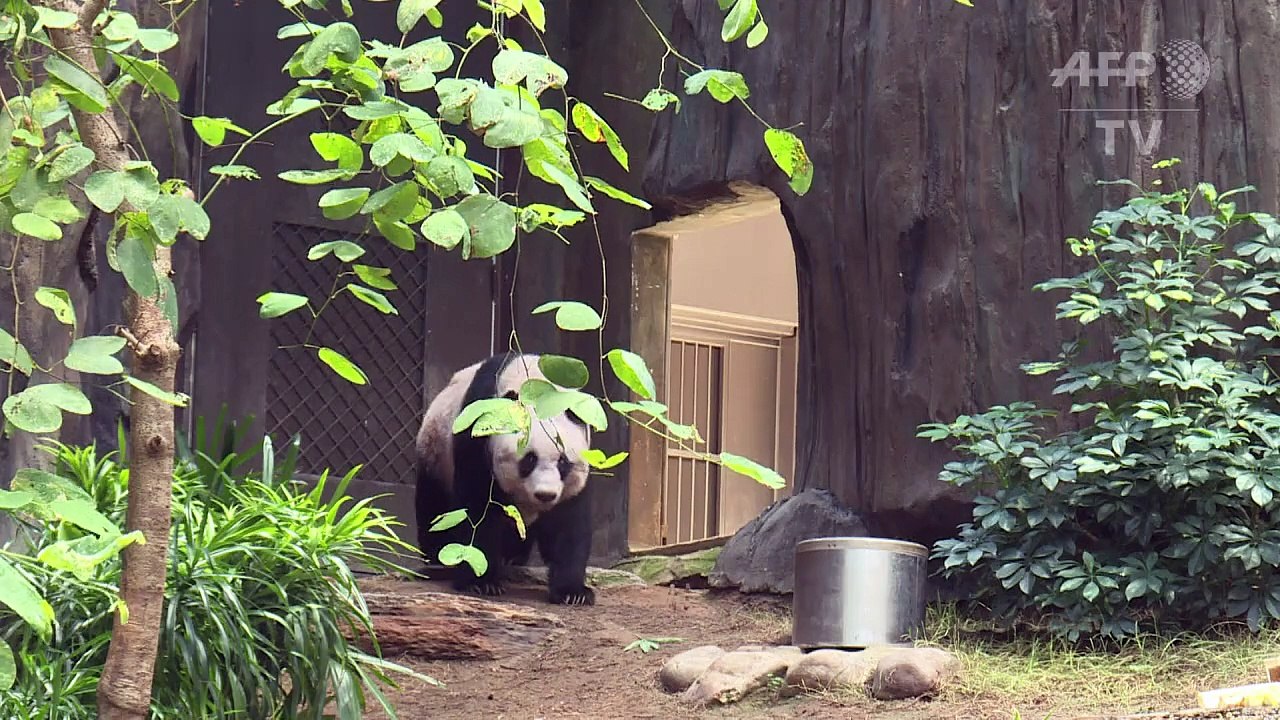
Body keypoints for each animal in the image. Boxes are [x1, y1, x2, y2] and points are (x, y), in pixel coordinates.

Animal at [414, 352, 596, 605]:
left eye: (563, 462)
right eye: (529, 460)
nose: (545, 495)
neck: (535, 386)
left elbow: (568, 524)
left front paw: (573, 592)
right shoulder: (478, 436)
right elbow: (477, 509)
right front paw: (481, 582)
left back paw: (513, 557)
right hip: (435, 452)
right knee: (434, 508)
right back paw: (439, 559)